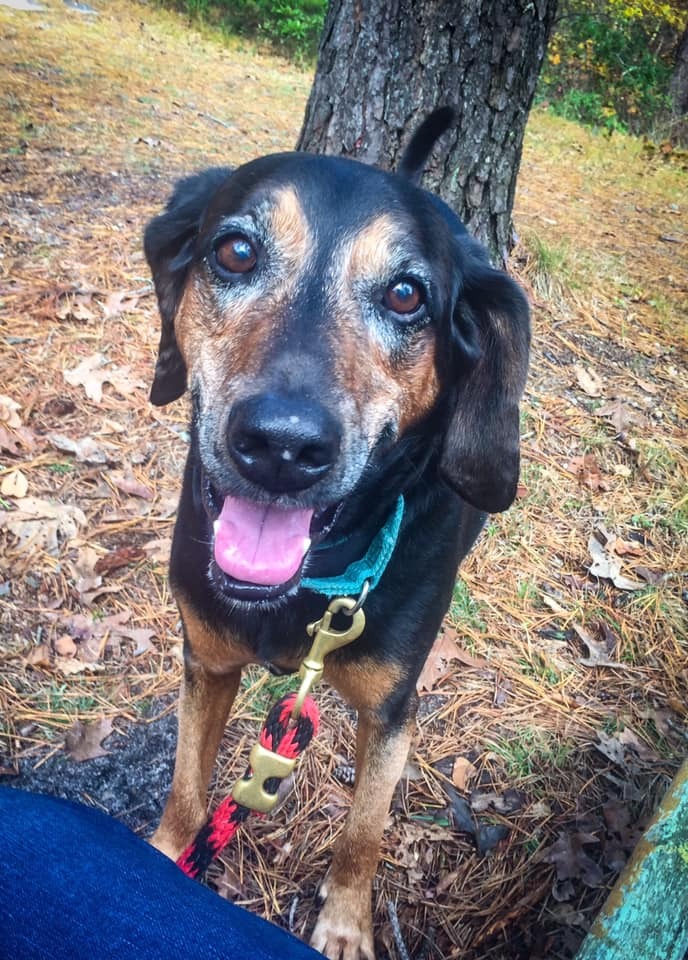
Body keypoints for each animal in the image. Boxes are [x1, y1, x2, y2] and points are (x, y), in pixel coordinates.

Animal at [144, 112, 532, 960]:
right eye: (236, 251)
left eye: (406, 294)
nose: (281, 446)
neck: (310, 581)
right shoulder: (206, 660)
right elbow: (187, 786)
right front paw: (160, 855)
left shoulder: (392, 712)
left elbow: (365, 832)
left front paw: (347, 925)